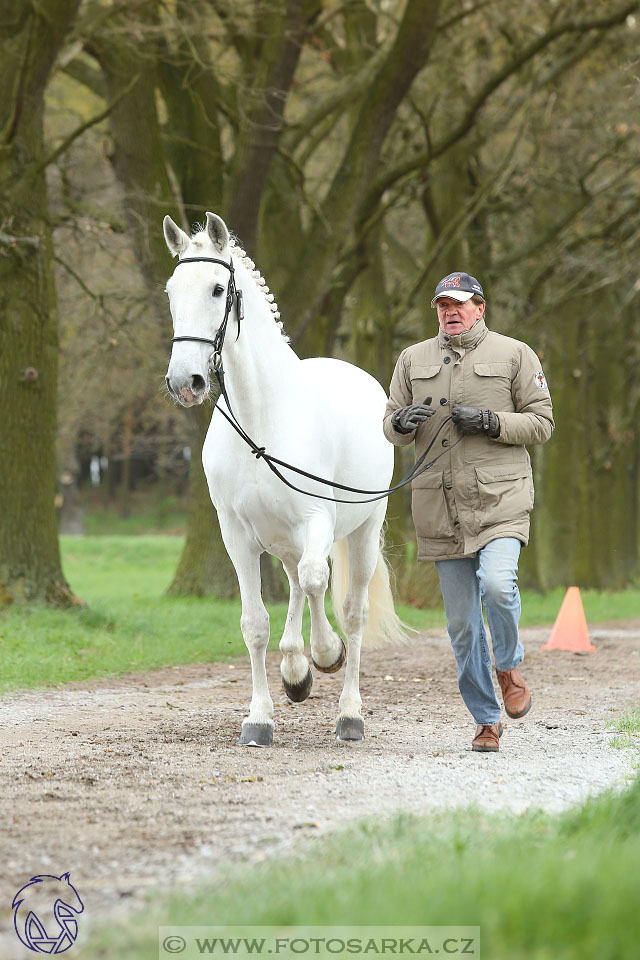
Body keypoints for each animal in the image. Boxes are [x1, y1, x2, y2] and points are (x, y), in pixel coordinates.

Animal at [162, 214, 402, 748]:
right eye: (171, 291)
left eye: (216, 289)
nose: (185, 382)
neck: (262, 420)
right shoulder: (236, 535)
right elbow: (256, 623)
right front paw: (260, 718)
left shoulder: (317, 520)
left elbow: (318, 582)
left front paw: (326, 654)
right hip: (282, 538)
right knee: (294, 585)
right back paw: (295, 670)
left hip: (362, 530)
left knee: (345, 605)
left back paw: (347, 708)